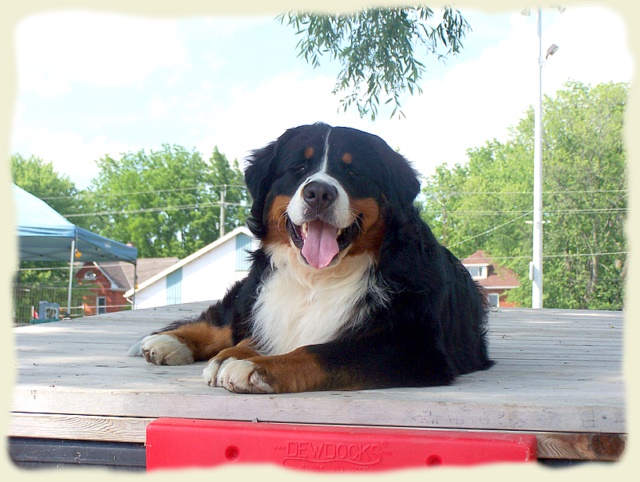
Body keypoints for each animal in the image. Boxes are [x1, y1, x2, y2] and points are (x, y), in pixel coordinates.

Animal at [127, 122, 492, 394]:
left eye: (352, 171)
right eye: (299, 168)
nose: (319, 192)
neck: (316, 278)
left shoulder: (413, 346)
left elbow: (318, 352)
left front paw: (255, 366)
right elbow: (251, 335)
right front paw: (236, 355)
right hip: (251, 288)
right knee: (225, 321)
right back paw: (169, 342)